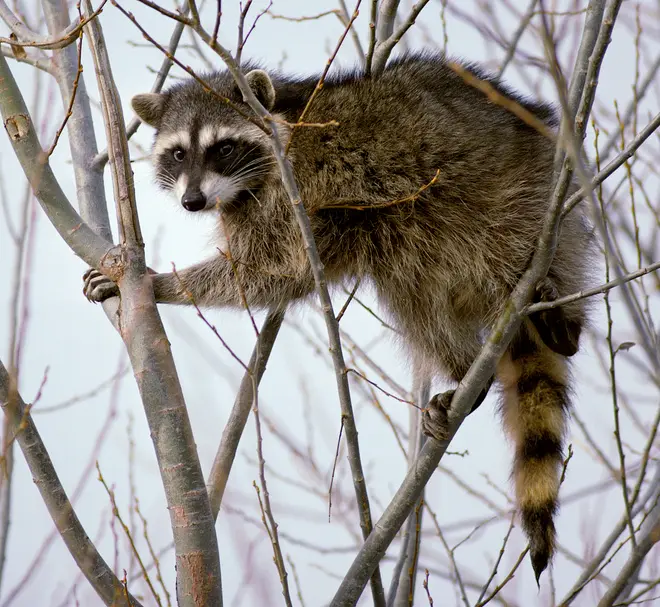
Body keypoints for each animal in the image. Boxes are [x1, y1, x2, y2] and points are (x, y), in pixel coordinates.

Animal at [84, 53, 592, 581]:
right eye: (179, 153)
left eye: (223, 148)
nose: (193, 202)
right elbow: (279, 276)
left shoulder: (295, 191)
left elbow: (269, 268)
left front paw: (161, 283)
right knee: (414, 295)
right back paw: (465, 369)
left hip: (520, 197)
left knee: (504, 246)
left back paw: (562, 320)